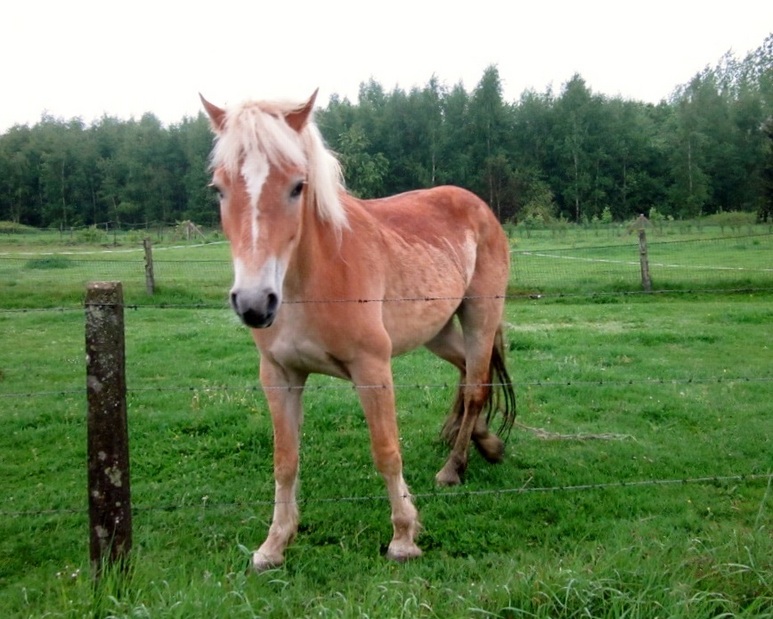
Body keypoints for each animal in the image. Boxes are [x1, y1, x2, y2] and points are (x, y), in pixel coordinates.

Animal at [199, 91, 516, 572]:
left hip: (480, 314)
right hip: (438, 331)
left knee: (478, 385)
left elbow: (386, 450)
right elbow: (285, 460)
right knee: (466, 375)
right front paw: (273, 545)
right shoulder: (279, 376)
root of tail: (478, 205)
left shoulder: (372, 369)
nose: (254, 304)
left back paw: (452, 468)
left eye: (298, 186)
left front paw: (403, 537)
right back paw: (484, 442)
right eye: (220, 189)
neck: (310, 284)